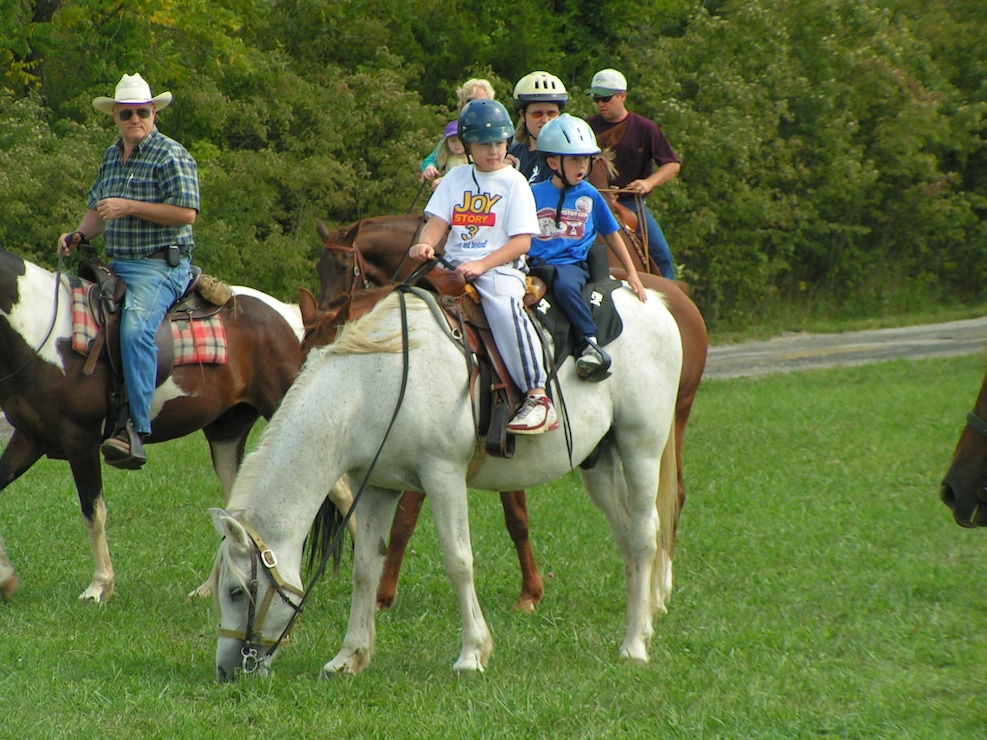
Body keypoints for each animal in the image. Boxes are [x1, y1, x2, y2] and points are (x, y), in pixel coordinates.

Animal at [0, 246, 352, 604]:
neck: (44, 335)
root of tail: (294, 318)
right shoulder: (29, 438)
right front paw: (6, 579)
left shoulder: (80, 439)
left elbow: (93, 512)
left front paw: (99, 587)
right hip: (225, 433)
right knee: (234, 514)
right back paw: (211, 588)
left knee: (341, 489)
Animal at [212, 286, 684, 680]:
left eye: (236, 591)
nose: (227, 670)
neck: (371, 386)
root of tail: (655, 304)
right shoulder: (378, 486)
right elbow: (366, 569)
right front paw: (350, 656)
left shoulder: (443, 476)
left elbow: (458, 561)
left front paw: (473, 653)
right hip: (599, 461)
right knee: (625, 539)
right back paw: (639, 628)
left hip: (641, 448)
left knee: (644, 537)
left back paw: (634, 646)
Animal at [316, 214, 712, 612]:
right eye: (321, 267)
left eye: (342, 267)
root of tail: (672, 299)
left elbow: (414, 518)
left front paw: (384, 595)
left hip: (667, 424)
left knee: (672, 498)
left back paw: (660, 589)